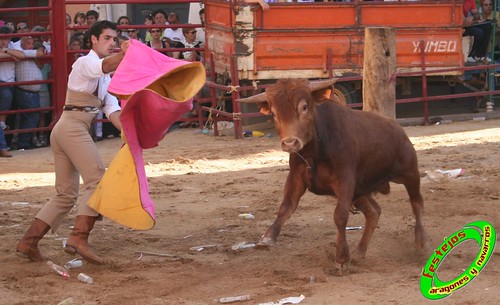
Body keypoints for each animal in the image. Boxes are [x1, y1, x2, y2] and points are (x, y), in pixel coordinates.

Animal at [240, 78, 428, 274]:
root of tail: (397, 128)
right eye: (275, 114)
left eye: (304, 107)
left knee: (416, 202)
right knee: (374, 212)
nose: (290, 143)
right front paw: (268, 237)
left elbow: (340, 216)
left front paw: (342, 258)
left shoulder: (345, 181)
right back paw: (359, 252)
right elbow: (286, 207)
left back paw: (420, 242)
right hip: (361, 190)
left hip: (409, 173)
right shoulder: (296, 177)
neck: (315, 150)